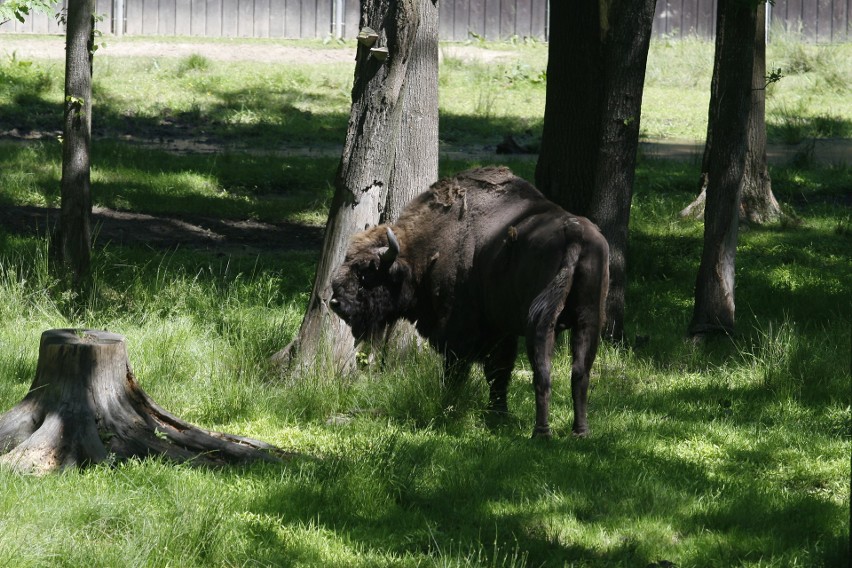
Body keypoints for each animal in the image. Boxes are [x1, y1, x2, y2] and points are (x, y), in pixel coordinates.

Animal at [330, 166, 608, 438]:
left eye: (366, 272)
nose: (335, 303)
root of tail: (573, 230)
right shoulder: (501, 330)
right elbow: (498, 372)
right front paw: (497, 414)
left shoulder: (459, 333)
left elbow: (458, 372)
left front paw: (450, 406)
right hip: (588, 320)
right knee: (580, 372)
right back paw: (580, 432)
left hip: (540, 325)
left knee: (543, 372)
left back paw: (541, 433)